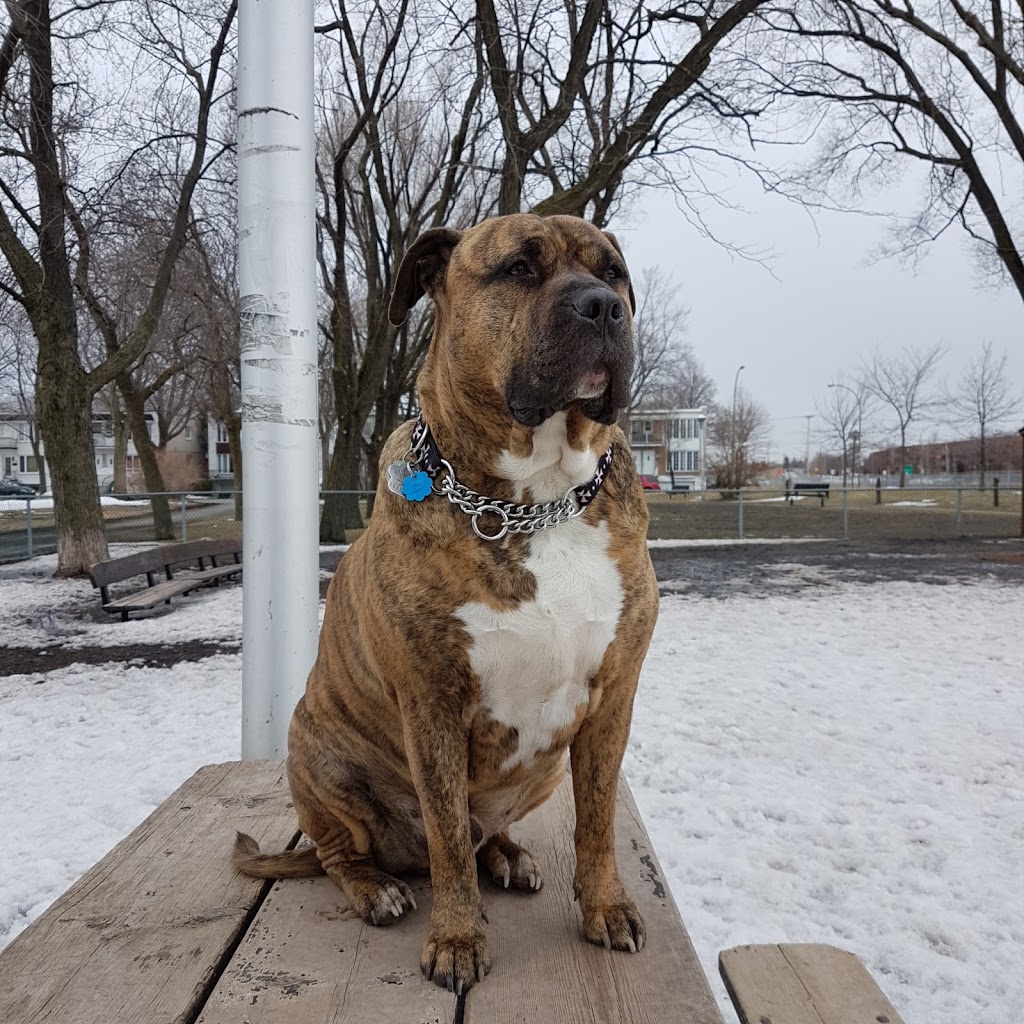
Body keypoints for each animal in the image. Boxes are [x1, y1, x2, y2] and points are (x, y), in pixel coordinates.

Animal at [235, 214, 659, 991]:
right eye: (519, 268)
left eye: (612, 273)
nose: (603, 308)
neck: (536, 500)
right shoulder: (431, 700)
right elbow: (447, 838)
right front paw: (458, 938)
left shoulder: (613, 697)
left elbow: (597, 820)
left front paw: (606, 906)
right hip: (316, 754)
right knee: (354, 851)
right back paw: (376, 887)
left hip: (543, 769)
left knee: (481, 830)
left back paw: (509, 854)